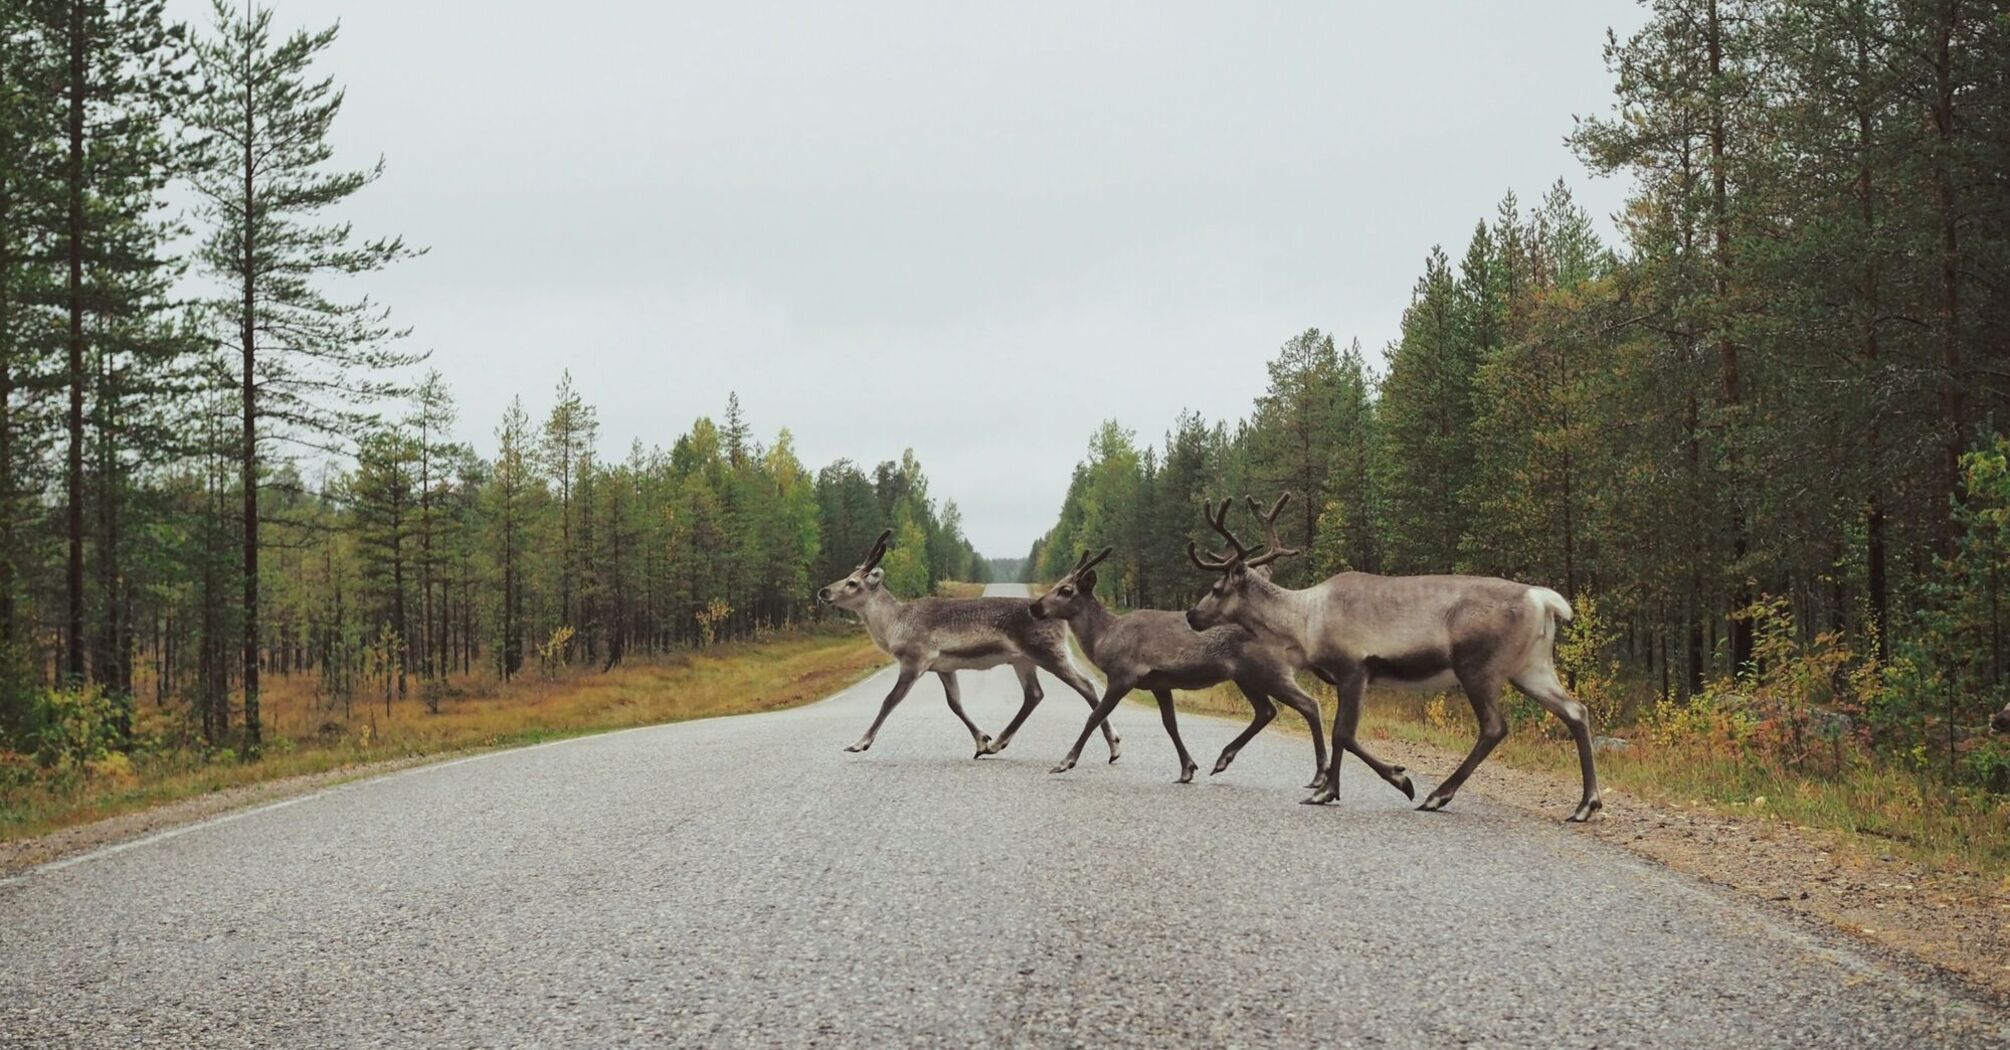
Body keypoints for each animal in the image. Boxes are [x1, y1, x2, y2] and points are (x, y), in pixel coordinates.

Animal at [817, 529, 1121, 762]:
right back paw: (997, 744)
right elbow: (955, 704)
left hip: (1048, 652)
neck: (894, 626)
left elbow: (890, 700)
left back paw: (1114, 746)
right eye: (847, 576)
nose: (823, 591)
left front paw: (860, 743)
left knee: (1086, 685)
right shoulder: (942, 666)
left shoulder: (914, 659)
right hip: (1022, 660)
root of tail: (1061, 621)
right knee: (1034, 695)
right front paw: (982, 740)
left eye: (852, 582)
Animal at [1186, 494, 1602, 822]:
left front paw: (1396, 780)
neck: (1304, 621)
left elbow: (1344, 733)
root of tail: (1543, 600)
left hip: (1478, 667)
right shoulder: (1346, 677)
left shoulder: (1355, 668)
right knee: (1576, 710)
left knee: (1495, 726)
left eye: (1217, 587)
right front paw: (1329, 791)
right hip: (1531, 667)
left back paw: (1437, 796)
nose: (1191, 615)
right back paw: (1585, 805)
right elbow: (1340, 734)